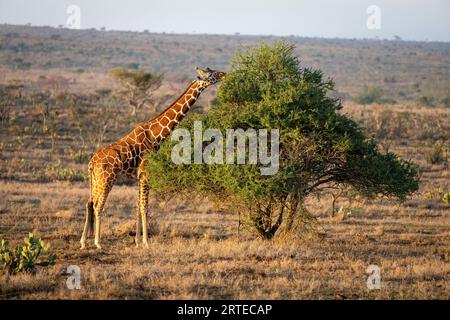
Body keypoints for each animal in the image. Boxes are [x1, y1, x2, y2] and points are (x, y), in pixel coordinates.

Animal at [80, 66, 227, 249]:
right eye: (212, 73)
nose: (225, 74)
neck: (155, 135)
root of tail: (92, 162)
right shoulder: (146, 173)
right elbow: (144, 206)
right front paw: (146, 241)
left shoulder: (139, 176)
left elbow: (137, 206)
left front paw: (137, 241)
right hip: (107, 178)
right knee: (98, 205)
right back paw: (98, 243)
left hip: (95, 179)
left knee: (89, 203)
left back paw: (83, 242)